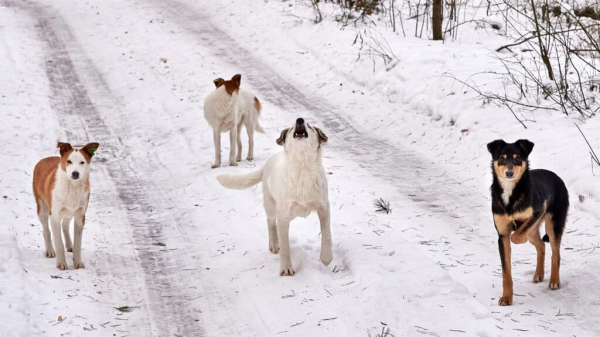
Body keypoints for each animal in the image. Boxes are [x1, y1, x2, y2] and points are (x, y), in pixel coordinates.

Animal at [33, 142, 99, 270]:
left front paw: (77, 262)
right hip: (42, 208)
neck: (72, 187)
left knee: (65, 225)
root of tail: (44, 159)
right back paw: (49, 250)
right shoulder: (55, 216)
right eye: (69, 161)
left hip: (69, 211)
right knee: (46, 230)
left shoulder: (80, 215)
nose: (75, 173)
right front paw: (61, 263)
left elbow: (78, 244)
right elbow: (58, 243)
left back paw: (69, 245)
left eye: (82, 162)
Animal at [217, 118, 332, 276]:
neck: (302, 166)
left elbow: (326, 234)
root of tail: (267, 164)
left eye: (309, 126)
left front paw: (326, 258)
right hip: (271, 206)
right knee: (271, 222)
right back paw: (273, 244)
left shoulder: (323, 207)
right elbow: (285, 245)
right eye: (291, 128)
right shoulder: (283, 215)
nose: (300, 120)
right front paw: (286, 268)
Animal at [488, 138, 568, 304]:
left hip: (553, 224)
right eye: (501, 159)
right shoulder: (502, 236)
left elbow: (516, 236)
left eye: (518, 159)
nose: (509, 173)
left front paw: (518, 237)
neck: (510, 193)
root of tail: (556, 177)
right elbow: (506, 272)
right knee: (541, 246)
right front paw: (506, 298)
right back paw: (539, 274)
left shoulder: (538, 211)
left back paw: (554, 281)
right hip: (535, 231)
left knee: (555, 254)